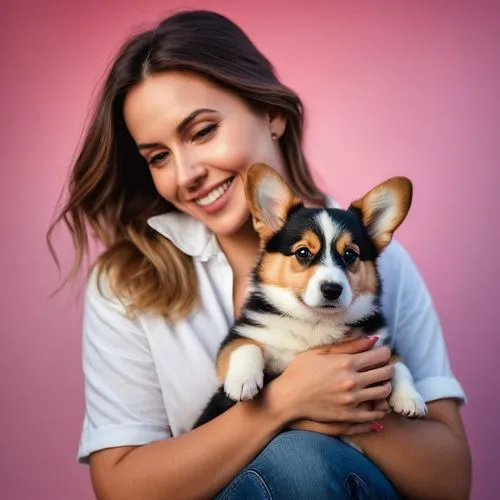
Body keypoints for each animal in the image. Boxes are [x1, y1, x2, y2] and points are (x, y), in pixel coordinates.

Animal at [193, 162, 428, 428]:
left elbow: (399, 364)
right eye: (303, 252)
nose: (332, 290)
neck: (316, 321)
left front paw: (411, 399)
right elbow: (246, 346)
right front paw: (242, 381)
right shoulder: (238, 337)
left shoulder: (380, 343)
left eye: (350, 255)